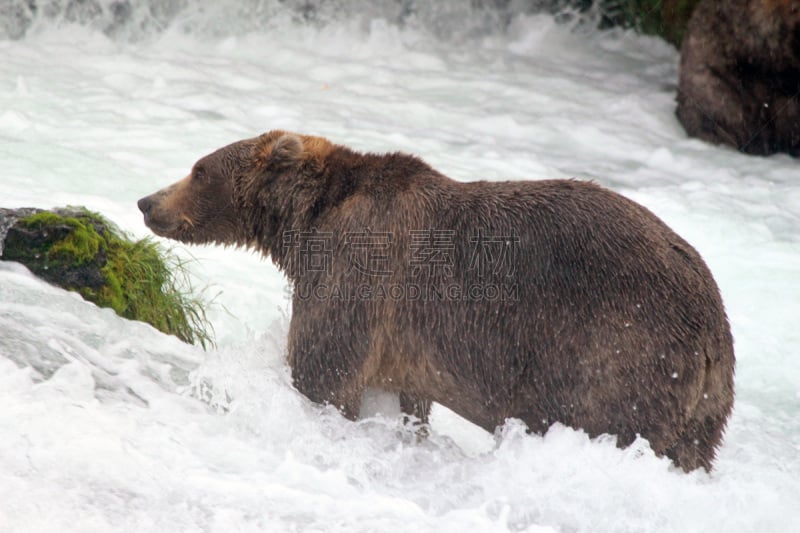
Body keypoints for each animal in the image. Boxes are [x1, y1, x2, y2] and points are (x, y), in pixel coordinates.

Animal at [139, 131, 736, 472]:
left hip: (616, 348)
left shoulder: (360, 269)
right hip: (705, 406)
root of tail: (711, 331)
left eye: (199, 168)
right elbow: (407, 396)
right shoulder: (407, 339)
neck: (306, 223)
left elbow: (323, 368)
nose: (147, 200)